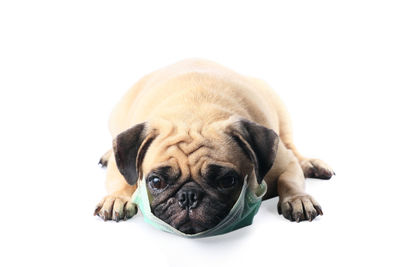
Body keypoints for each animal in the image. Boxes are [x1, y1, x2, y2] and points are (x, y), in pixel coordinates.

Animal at [94, 59, 334, 234]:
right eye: (156, 182)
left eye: (227, 181)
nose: (188, 197)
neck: (194, 114)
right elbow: (123, 179)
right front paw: (118, 198)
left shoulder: (283, 163)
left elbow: (289, 179)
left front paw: (298, 199)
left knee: (292, 147)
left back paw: (310, 164)